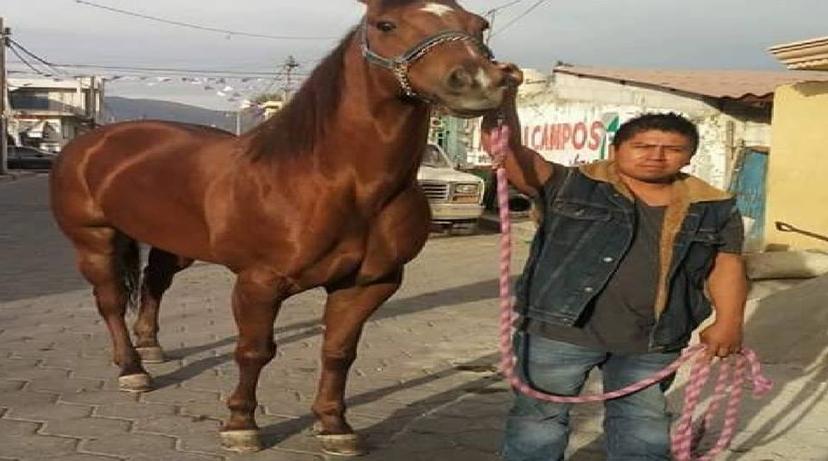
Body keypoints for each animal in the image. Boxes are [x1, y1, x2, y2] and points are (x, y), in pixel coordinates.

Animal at [48, 0, 516, 452]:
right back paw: (133, 369)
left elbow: (339, 352)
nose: (478, 81)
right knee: (110, 301)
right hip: (94, 239)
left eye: (478, 26)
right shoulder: (260, 282)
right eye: (386, 25)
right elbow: (253, 352)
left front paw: (334, 426)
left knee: (154, 283)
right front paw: (241, 425)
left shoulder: (369, 284)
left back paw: (151, 347)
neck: (332, 181)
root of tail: (90, 143)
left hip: (175, 243)